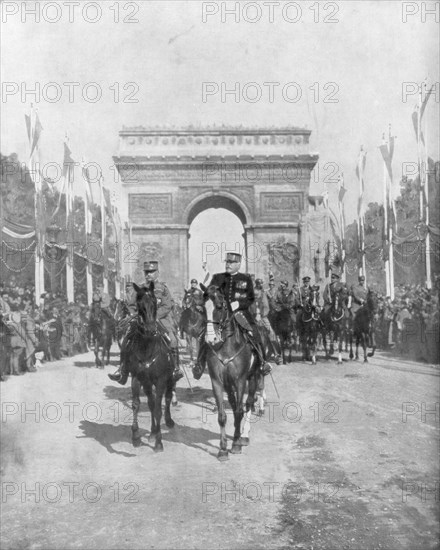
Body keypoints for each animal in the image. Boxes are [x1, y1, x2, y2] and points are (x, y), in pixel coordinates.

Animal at [205, 286, 260, 464]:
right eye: (202, 308)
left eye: (219, 306)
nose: (211, 339)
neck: (226, 346)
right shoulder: (217, 382)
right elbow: (222, 416)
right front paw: (223, 450)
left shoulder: (240, 381)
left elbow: (239, 411)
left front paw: (236, 444)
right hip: (229, 385)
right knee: (234, 402)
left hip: (254, 376)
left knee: (248, 403)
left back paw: (244, 435)